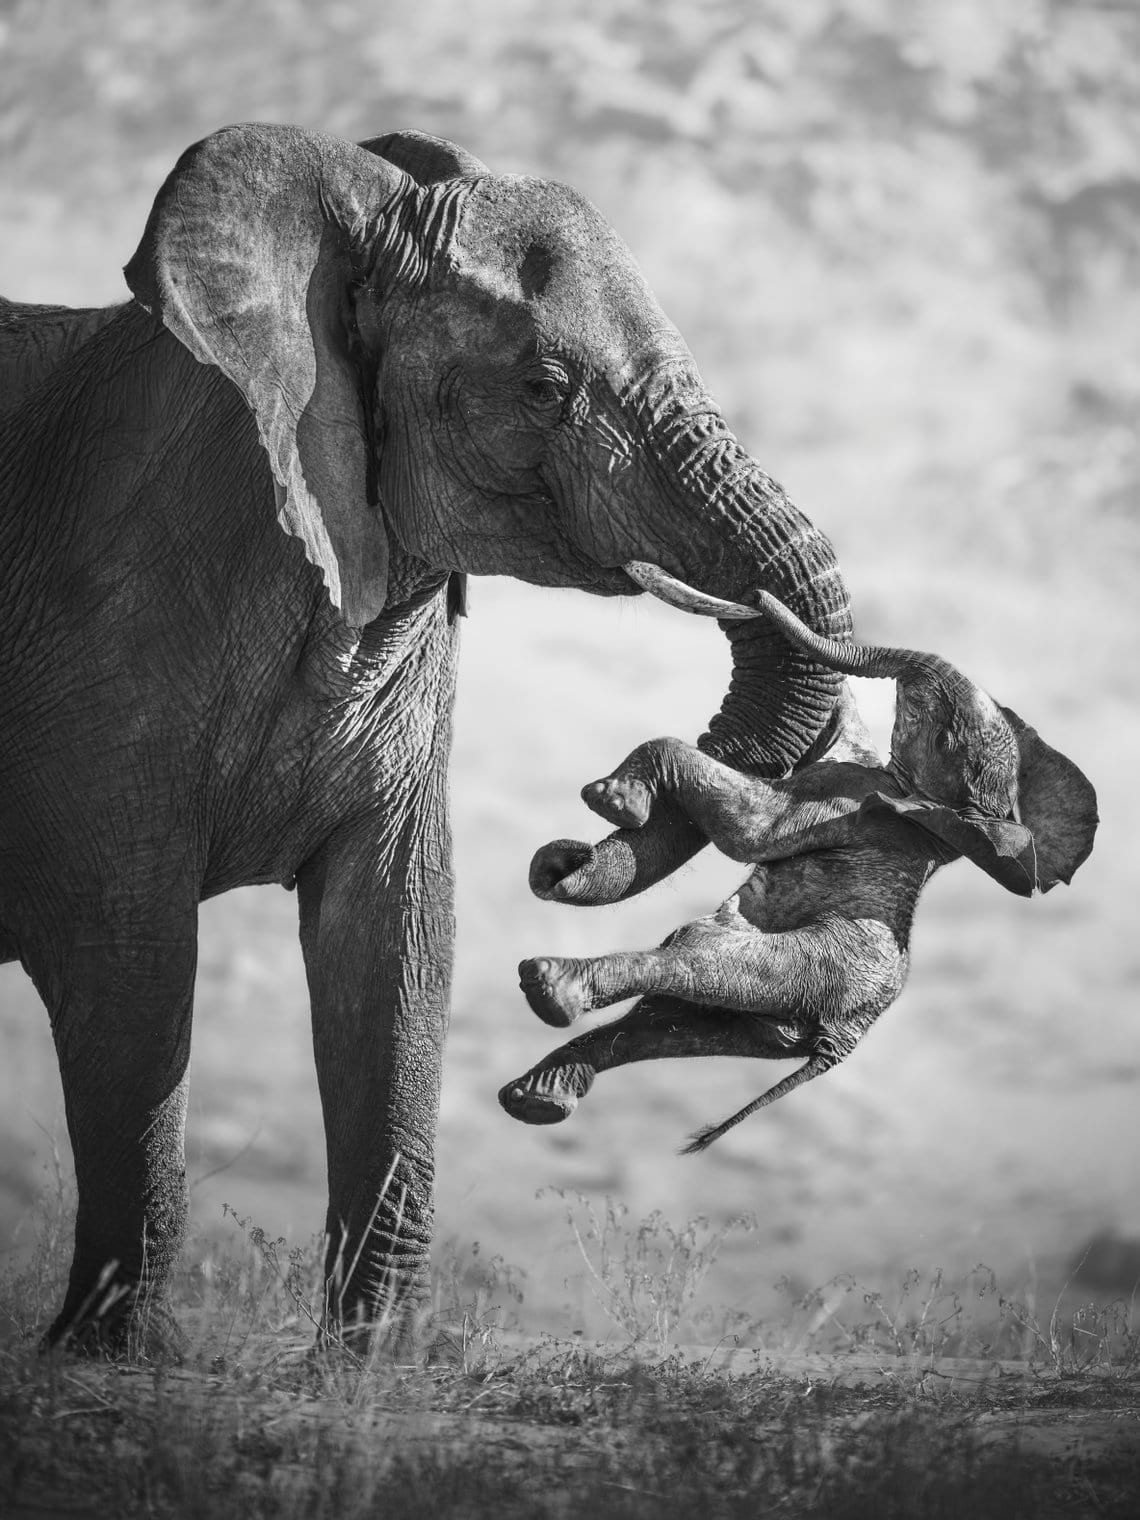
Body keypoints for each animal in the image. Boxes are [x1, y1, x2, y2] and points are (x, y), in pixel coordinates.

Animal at [0, 124, 853, 1353]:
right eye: (544, 388)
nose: (576, 837)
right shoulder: (101, 642)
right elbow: (133, 965)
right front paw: (113, 1360)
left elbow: (396, 939)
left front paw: (372, 1366)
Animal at [501, 586, 1097, 1150]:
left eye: (943, 734)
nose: (755, 597)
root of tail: (841, 1041)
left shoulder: (848, 801)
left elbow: (749, 830)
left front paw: (612, 802)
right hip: (776, 1019)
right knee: (665, 1023)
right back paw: (536, 1097)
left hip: (813, 967)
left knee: (694, 961)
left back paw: (550, 989)